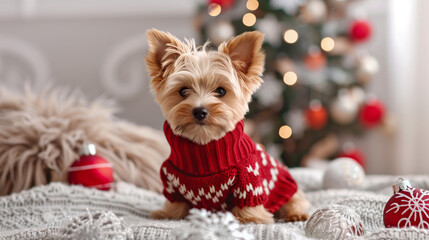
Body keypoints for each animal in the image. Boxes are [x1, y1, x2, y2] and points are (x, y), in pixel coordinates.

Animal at [144, 29, 308, 223]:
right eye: (183, 91)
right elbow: (176, 203)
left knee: (296, 201)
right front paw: (169, 214)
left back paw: (295, 214)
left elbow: (248, 202)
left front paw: (249, 218)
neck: (204, 146)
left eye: (221, 91)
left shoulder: (248, 180)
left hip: (287, 186)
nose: (199, 111)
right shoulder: (171, 181)